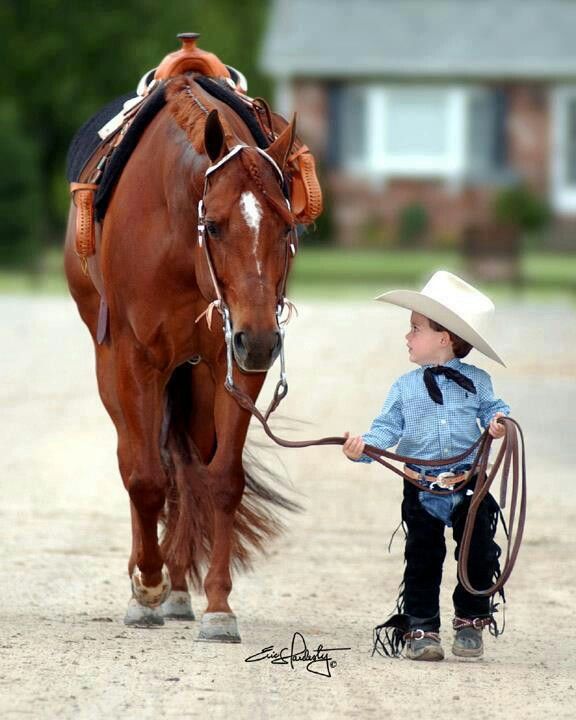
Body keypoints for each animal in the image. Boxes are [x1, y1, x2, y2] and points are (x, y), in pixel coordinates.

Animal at [64, 79, 302, 640]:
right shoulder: (136, 359)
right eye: (212, 225)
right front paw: (146, 587)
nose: (262, 340)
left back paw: (176, 586)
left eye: (285, 227)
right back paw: (149, 582)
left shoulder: (235, 361)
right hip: (112, 369)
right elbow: (145, 477)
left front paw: (217, 605)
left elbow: (222, 480)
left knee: (186, 463)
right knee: (135, 457)